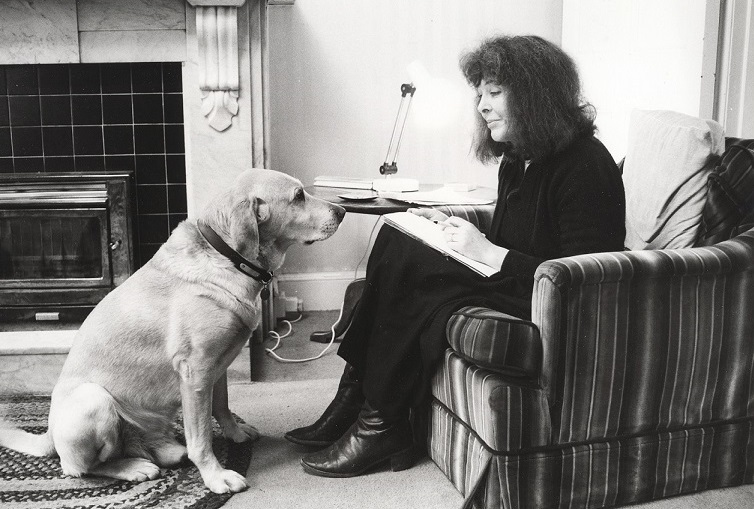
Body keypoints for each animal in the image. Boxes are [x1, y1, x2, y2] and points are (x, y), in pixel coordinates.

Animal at [0, 170, 346, 492]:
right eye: (298, 196)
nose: (342, 211)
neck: (228, 258)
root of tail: (48, 433)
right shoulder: (196, 371)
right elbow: (201, 436)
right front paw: (215, 475)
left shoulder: (218, 366)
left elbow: (222, 406)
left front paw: (235, 434)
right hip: (93, 400)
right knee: (82, 468)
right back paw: (133, 468)